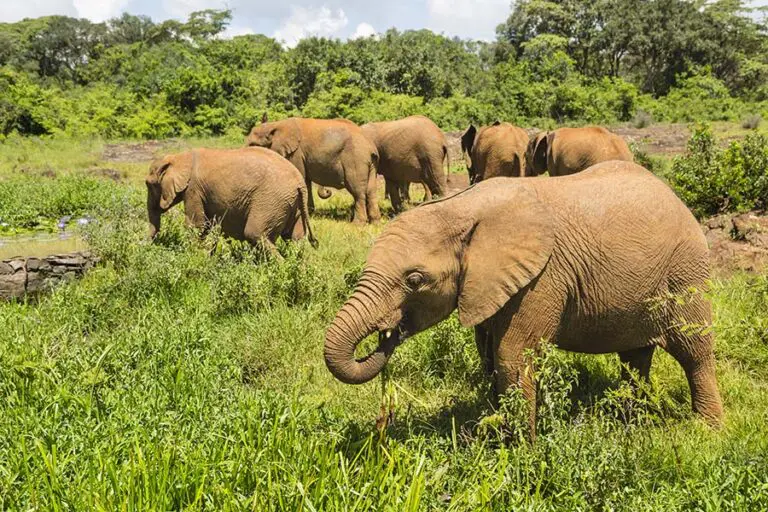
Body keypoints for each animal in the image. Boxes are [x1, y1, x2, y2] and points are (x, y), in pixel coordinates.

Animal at [146, 147, 318, 250]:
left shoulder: (193, 190)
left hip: (272, 201)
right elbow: (207, 226)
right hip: (292, 203)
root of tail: (299, 182)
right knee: (295, 239)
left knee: (255, 233)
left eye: (149, 184)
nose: (149, 245)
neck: (180, 157)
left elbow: (197, 226)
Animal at [247, 115, 380, 224]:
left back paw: (357, 224)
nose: (327, 191)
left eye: (253, 144)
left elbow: (302, 177)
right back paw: (375, 223)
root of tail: (370, 147)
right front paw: (309, 214)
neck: (274, 125)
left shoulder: (296, 153)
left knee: (358, 191)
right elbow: (306, 181)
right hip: (370, 163)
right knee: (371, 191)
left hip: (356, 159)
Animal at [324, 161, 723, 434]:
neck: (461, 208)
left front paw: (519, 451)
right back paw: (629, 420)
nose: (387, 333)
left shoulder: (541, 278)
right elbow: (488, 353)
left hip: (685, 272)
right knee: (634, 358)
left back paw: (707, 429)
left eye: (415, 280)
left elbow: (512, 356)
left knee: (694, 351)